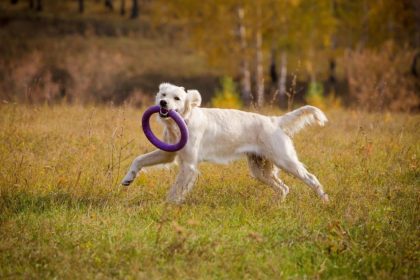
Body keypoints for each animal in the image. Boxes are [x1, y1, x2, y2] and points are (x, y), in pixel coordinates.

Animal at [120, 82, 330, 203]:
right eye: (163, 95)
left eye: (177, 98)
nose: (163, 104)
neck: (184, 121)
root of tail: (274, 120)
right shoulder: (167, 154)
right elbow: (139, 160)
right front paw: (128, 178)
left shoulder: (188, 165)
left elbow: (176, 189)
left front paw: (167, 205)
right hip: (260, 170)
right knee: (284, 188)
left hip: (286, 161)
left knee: (311, 178)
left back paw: (324, 200)